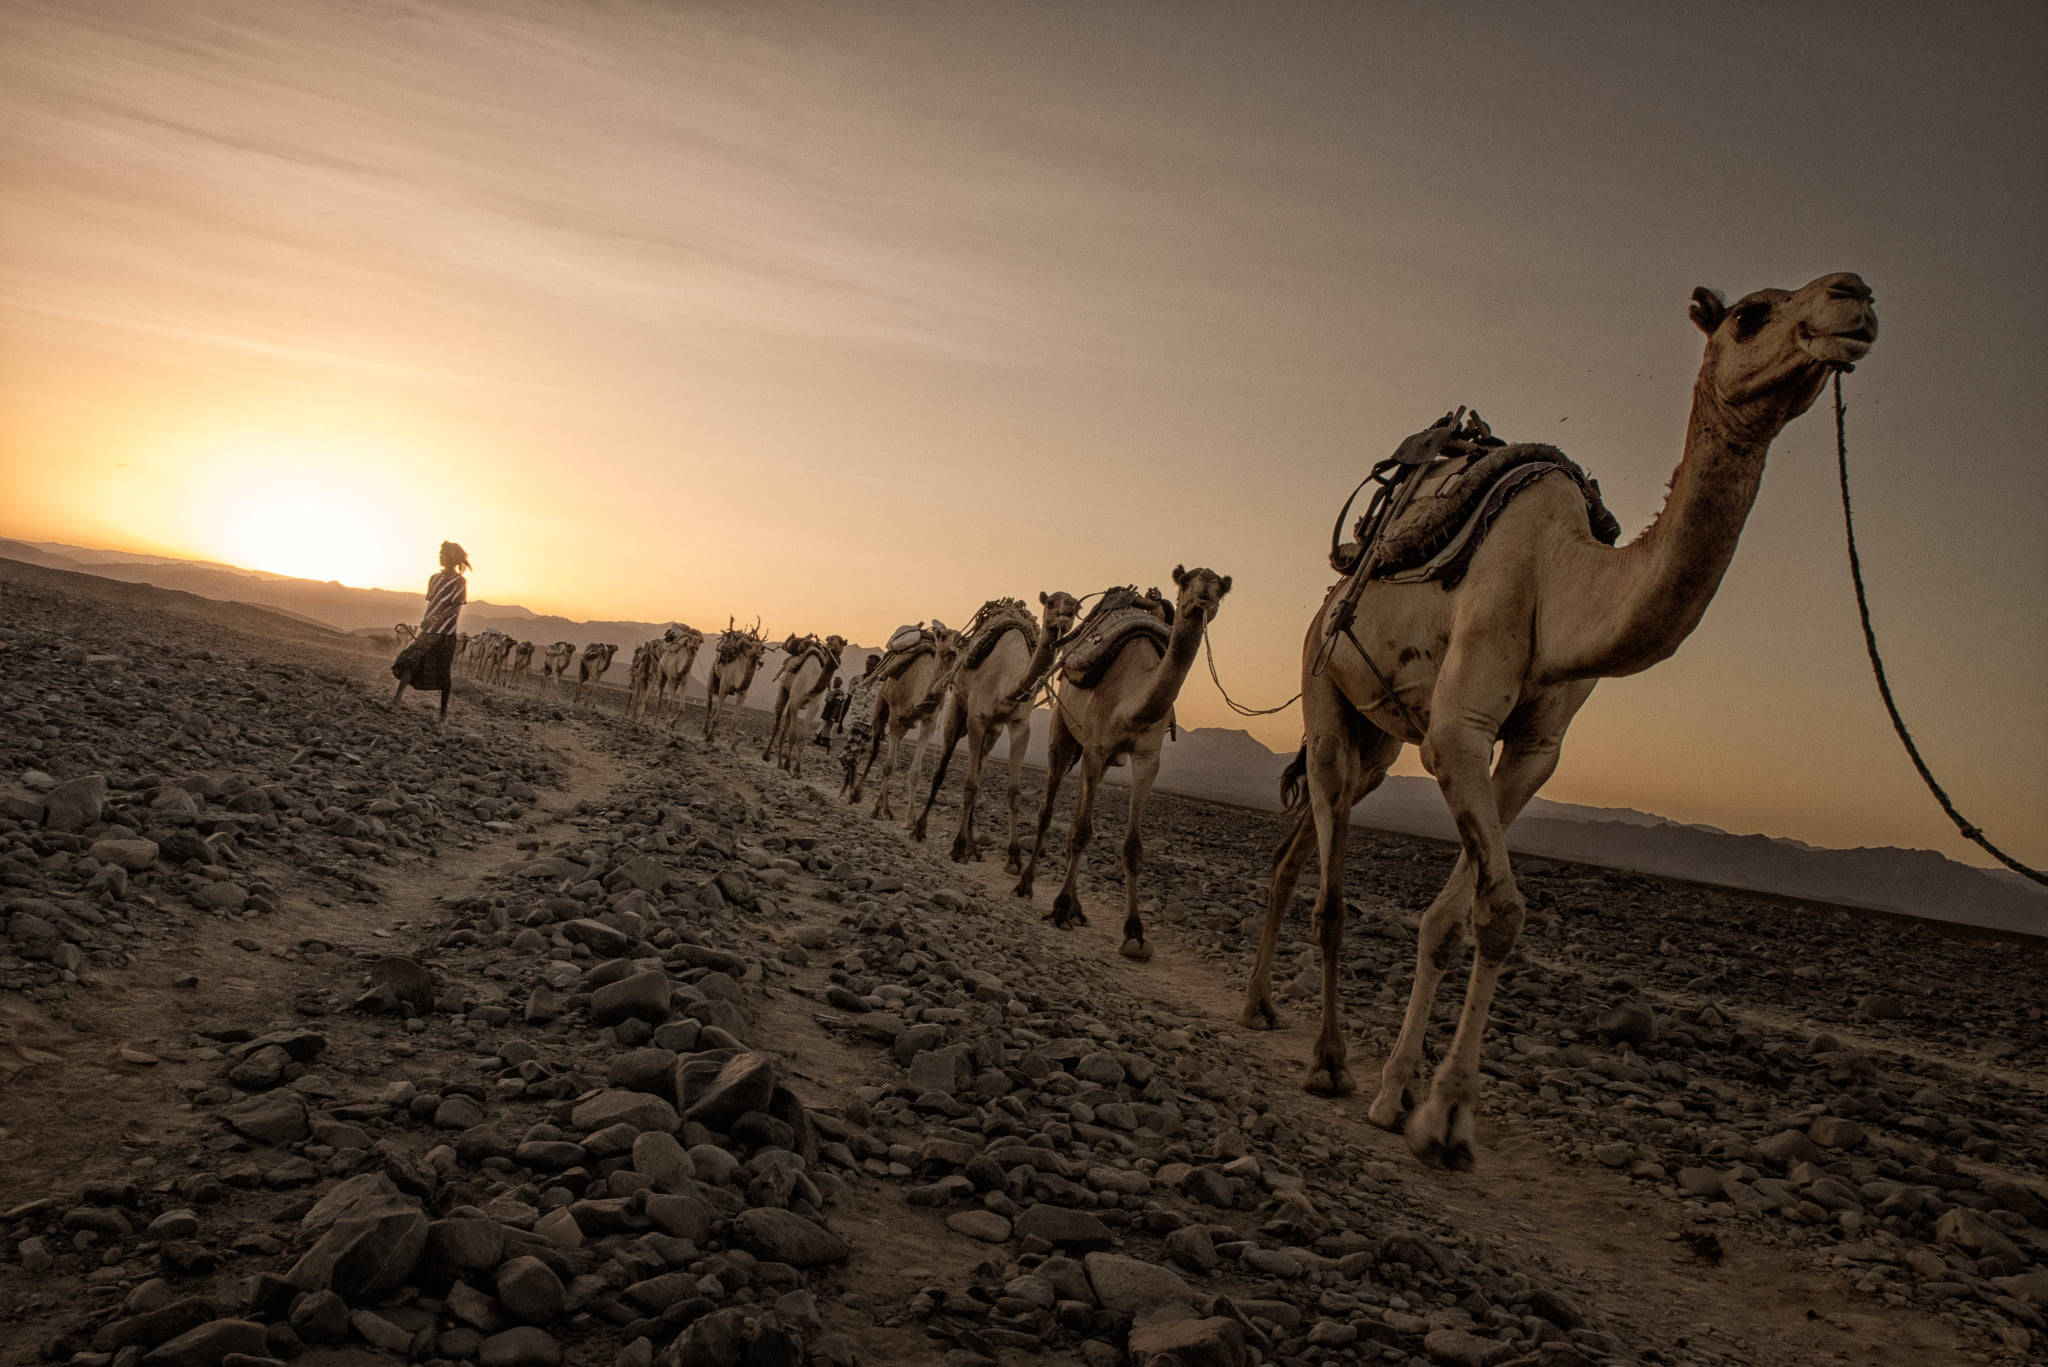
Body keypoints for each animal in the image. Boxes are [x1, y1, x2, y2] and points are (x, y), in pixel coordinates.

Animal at [763, 633, 847, 775]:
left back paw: (779, 764)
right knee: (778, 723)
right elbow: (793, 736)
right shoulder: (795, 701)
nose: (830, 646)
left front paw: (796, 770)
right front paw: (788, 765)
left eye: (841, 642)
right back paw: (767, 756)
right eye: (829, 639)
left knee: (785, 726)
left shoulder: (814, 706)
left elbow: (801, 737)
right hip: (784, 689)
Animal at [910, 592, 1081, 870]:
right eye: (1051, 603)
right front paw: (957, 848)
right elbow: (969, 785)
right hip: (959, 707)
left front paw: (1013, 856)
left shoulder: (1019, 725)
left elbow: (1012, 792)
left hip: (993, 731)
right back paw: (921, 828)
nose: (1065, 615)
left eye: (1077, 607)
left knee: (980, 770)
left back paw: (974, 847)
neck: (1008, 684)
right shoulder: (977, 719)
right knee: (943, 767)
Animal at [1013, 568, 1231, 961]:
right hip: (1063, 733)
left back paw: (1078, 909)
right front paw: (1059, 907)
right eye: (1187, 579)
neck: (1131, 702)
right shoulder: (1097, 748)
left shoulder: (1147, 758)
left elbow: (1131, 846)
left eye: (1221, 585)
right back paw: (1027, 885)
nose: (1205, 594)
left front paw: (1134, 932)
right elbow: (1081, 832)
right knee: (1049, 808)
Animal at [1236, 273, 1878, 1171]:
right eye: (1753, 314)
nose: (1854, 297)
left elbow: (1455, 919)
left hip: (1379, 739)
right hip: (1323, 685)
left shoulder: (1533, 751)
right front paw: (1440, 1115)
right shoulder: (1458, 731)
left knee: (1299, 847)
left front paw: (1409, 1095)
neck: (1560, 576)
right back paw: (1325, 1059)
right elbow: (1500, 911)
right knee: (1329, 887)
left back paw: (1261, 1005)